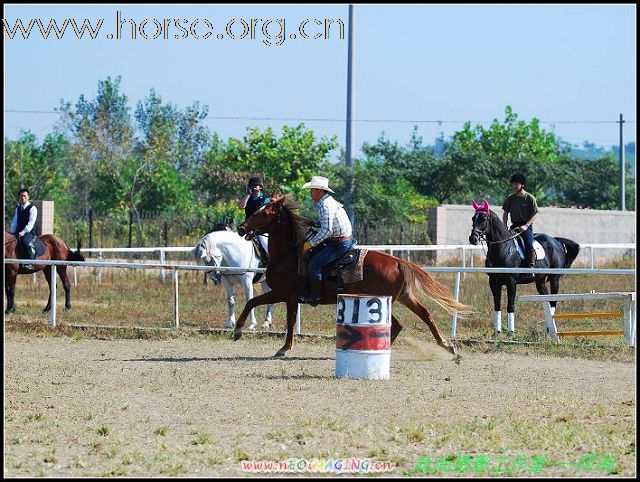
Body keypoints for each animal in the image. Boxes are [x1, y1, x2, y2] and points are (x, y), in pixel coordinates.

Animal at [235, 195, 470, 358]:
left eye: (264, 214)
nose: (241, 228)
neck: (289, 254)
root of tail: (398, 261)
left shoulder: (286, 294)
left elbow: (267, 309)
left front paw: (243, 333)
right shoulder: (287, 296)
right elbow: (261, 306)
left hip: (384, 298)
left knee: (399, 323)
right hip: (403, 296)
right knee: (423, 315)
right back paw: (446, 346)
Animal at [464, 201, 580, 334]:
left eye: (483, 219)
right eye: (473, 218)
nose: (472, 238)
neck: (503, 247)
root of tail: (556, 242)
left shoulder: (511, 282)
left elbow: (510, 305)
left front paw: (511, 332)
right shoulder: (493, 282)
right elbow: (497, 305)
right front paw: (497, 332)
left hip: (554, 279)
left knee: (553, 301)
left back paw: (549, 328)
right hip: (540, 281)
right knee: (546, 299)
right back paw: (549, 327)